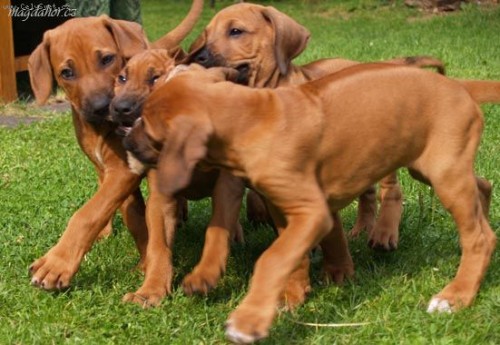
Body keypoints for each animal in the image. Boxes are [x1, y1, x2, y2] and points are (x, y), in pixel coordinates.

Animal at [26, 0, 203, 292]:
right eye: (67, 73)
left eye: (107, 59)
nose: (102, 107)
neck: (100, 129)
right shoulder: (116, 172)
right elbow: (123, 215)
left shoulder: (124, 171)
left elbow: (85, 214)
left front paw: (56, 262)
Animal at [109, 50, 244, 304]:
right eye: (122, 78)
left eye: (154, 78)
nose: (120, 108)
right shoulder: (160, 200)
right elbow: (158, 247)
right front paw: (150, 291)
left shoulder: (226, 189)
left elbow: (217, 232)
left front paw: (204, 275)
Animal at [124, 63, 496, 342]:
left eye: (150, 132)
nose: (126, 142)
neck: (251, 117)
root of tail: (458, 85)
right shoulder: (283, 207)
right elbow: (291, 253)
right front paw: (293, 294)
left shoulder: (312, 212)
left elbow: (273, 258)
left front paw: (249, 320)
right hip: (434, 167)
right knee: (481, 188)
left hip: (443, 173)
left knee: (479, 236)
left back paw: (456, 295)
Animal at [183, 1, 446, 306]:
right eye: (205, 34)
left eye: (235, 31)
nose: (196, 58)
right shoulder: (255, 192)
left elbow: (329, 235)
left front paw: (336, 273)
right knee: (367, 192)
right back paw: (363, 227)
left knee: (390, 189)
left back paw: (383, 232)